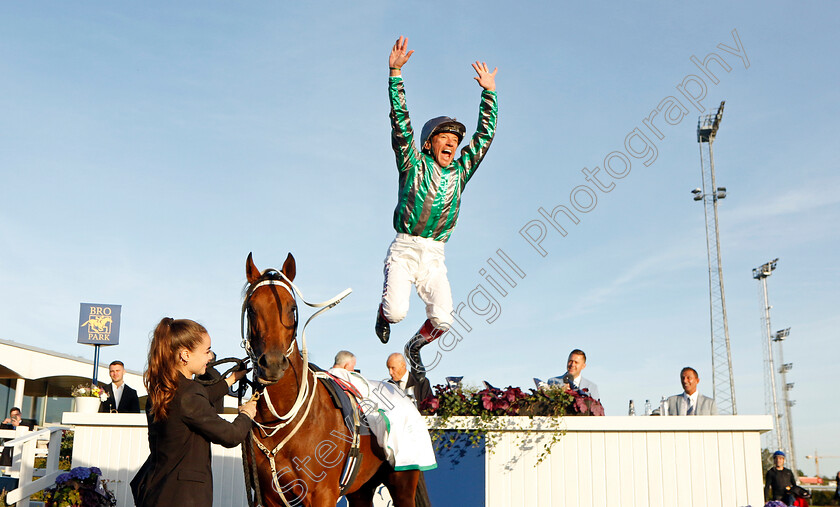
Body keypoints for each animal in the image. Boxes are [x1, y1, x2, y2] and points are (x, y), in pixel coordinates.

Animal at [241, 254, 418, 507]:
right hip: (361, 490)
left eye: (292, 308)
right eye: (252, 308)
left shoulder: (322, 494)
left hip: (403, 482)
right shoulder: (270, 498)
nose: (273, 363)